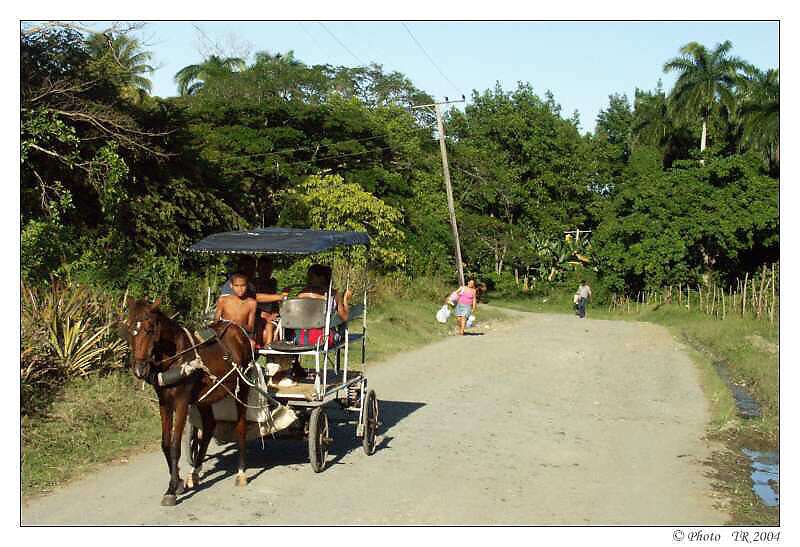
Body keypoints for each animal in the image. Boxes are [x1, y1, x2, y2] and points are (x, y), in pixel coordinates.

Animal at [123, 298, 253, 508]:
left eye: (150, 329)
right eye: (128, 328)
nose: (139, 369)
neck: (175, 356)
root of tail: (237, 329)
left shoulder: (182, 402)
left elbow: (175, 445)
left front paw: (171, 490)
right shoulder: (164, 403)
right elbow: (165, 444)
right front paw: (178, 483)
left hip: (242, 388)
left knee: (240, 426)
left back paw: (241, 473)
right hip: (205, 398)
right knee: (208, 427)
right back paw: (195, 473)